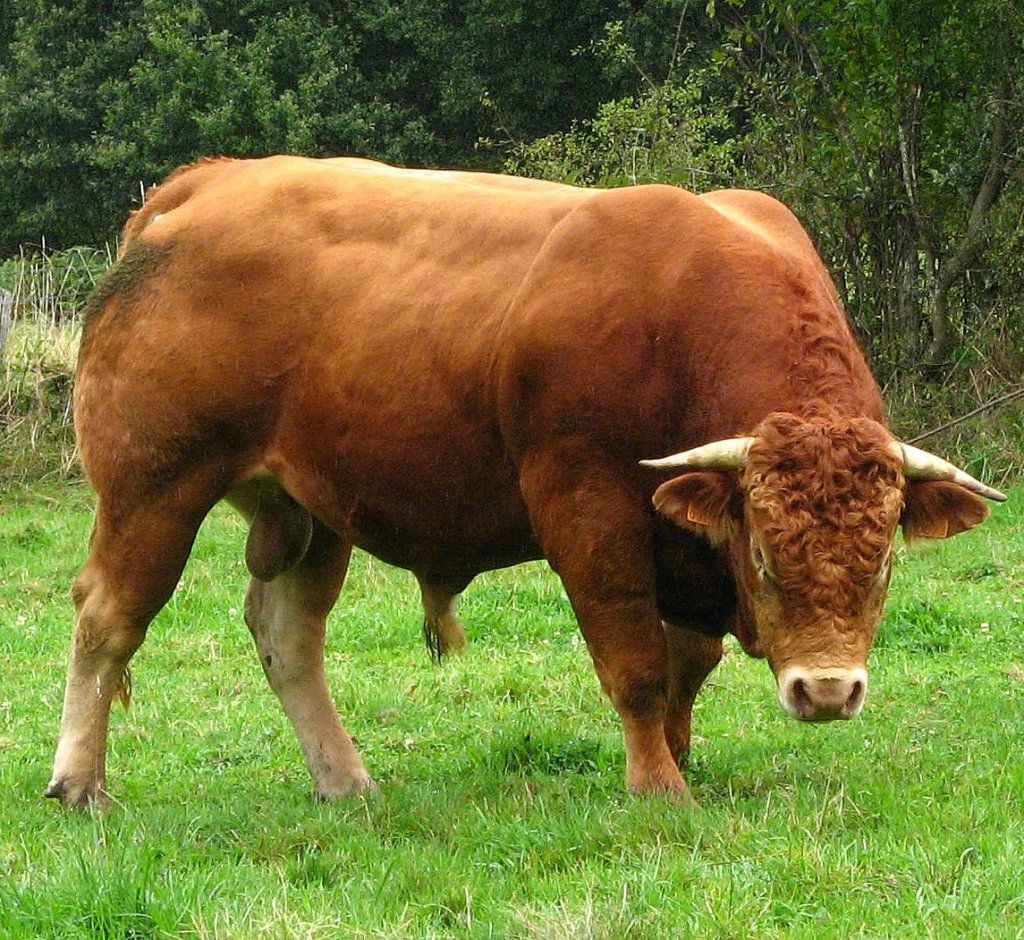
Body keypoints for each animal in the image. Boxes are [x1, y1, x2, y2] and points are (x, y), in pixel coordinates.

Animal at [46, 156, 999, 810]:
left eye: (882, 562)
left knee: (287, 637)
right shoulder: (588, 510)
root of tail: (205, 184)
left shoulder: (684, 540)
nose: (828, 692)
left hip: (312, 510)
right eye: (766, 554)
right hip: (152, 489)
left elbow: (686, 665)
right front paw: (657, 787)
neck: (684, 315)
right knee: (107, 621)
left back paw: (345, 781)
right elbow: (636, 664)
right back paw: (79, 783)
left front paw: (679, 757)